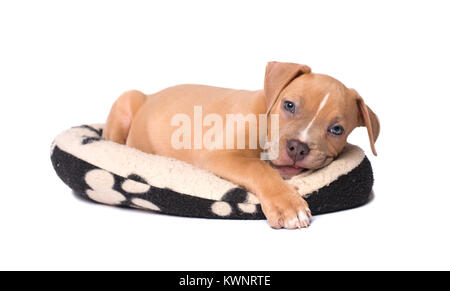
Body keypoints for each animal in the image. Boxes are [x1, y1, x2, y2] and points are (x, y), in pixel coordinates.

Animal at [103, 62, 380, 230]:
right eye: (289, 105)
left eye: (337, 130)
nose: (298, 147)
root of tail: (150, 95)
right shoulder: (221, 156)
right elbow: (259, 169)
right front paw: (289, 206)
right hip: (127, 100)